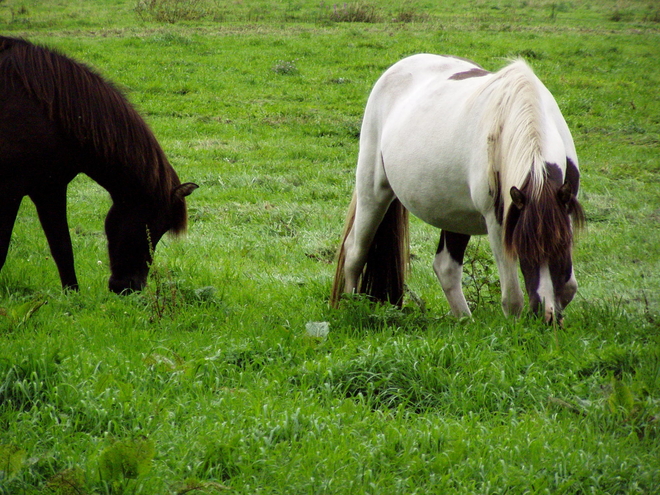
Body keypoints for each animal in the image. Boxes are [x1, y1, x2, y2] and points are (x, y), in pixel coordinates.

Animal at [0, 37, 197, 294]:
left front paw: (72, 295)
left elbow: (62, 247)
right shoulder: (11, 190)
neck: (49, 111)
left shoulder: (49, 187)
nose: (132, 287)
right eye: (153, 226)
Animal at [332, 55, 584, 326]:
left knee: (446, 268)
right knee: (354, 251)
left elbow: (569, 286)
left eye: (562, 246)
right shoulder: (498, 223)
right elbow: (512, 297)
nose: (545, 316)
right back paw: (351, 307)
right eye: (523, 249)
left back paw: (465, 321)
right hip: (373, 191)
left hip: (454, 216)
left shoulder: (563, 208)